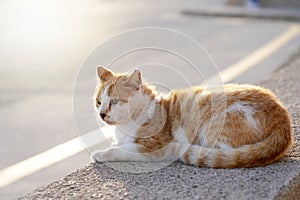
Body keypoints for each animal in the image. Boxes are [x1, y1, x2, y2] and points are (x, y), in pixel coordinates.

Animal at [90, 66, 292, 168]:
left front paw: (101, 153)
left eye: (114, 101)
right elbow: (119, 144)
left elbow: (119, 150)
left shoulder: (152, 147)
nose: (102, 114)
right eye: (99, 102)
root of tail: (283, 119)